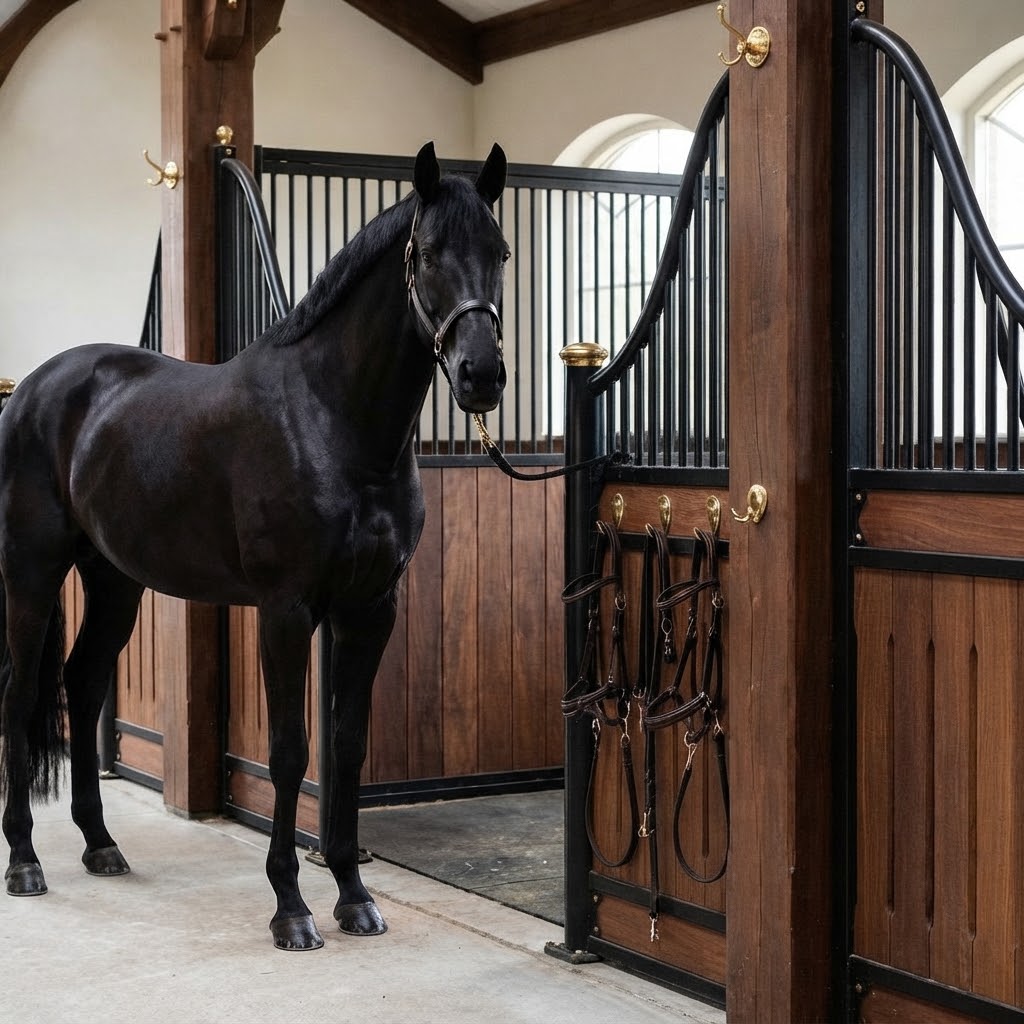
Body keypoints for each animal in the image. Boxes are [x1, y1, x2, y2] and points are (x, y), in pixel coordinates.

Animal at [0, 141, 509, 951]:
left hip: (114, 580)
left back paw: (100, 844)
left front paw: (355, 898)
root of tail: (31, 389)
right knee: (21, 695)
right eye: (426, 254)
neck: (332, 421)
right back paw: (24, 860)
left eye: (500, 251)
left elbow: (347, 745)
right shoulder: (286, 609)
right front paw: (292, 909)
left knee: (81, 682)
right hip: (34, 570)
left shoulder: (372, 607)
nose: (481, 375)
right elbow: (291, 748)